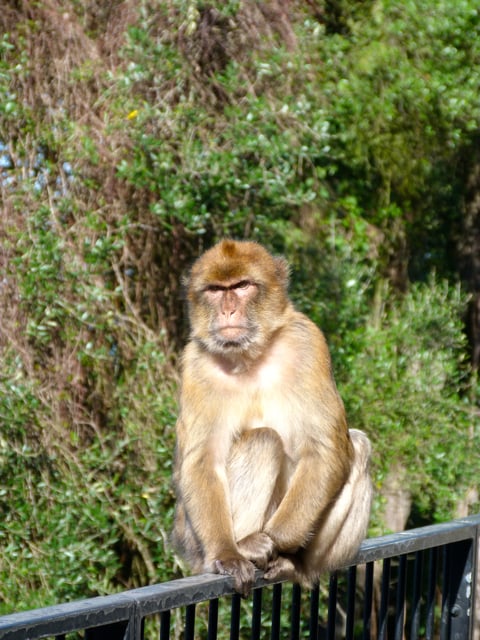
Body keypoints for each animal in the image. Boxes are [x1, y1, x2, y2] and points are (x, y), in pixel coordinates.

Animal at [172, 239, 372, 596]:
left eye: (242, 286)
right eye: (215, 290)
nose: (227, 310)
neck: (250, 355)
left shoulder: (308, 341)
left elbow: (326, 449)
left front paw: (276, 541)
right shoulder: (195, 363)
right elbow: (202, 461)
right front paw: (228, 554)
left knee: (358, 448)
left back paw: (294, 563)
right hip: (191, 540)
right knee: (262, 440)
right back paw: (244, 545)